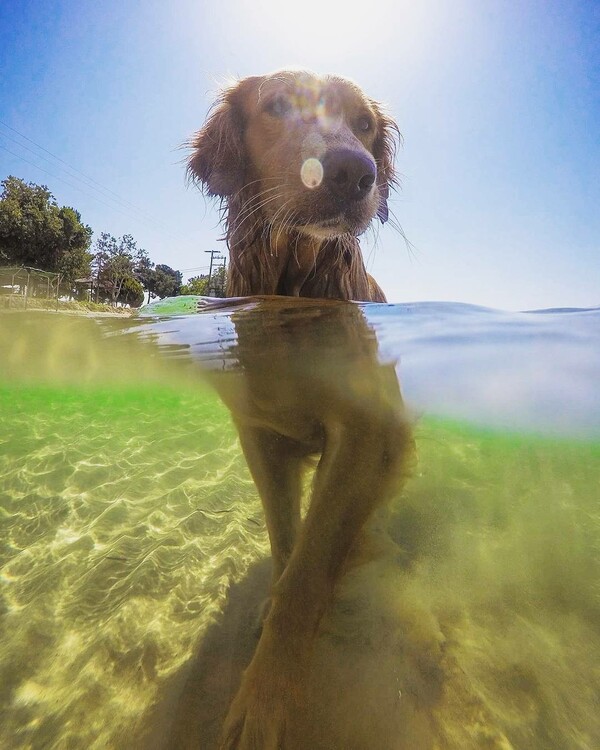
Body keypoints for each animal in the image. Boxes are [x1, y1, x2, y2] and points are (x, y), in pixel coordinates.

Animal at [188, 72, 412, 750]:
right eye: (278, 106)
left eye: (364, 124)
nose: (353, 171)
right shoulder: (261, 435)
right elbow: (287, 546)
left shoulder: (363, 436)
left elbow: (307, 574)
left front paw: (264, 703)